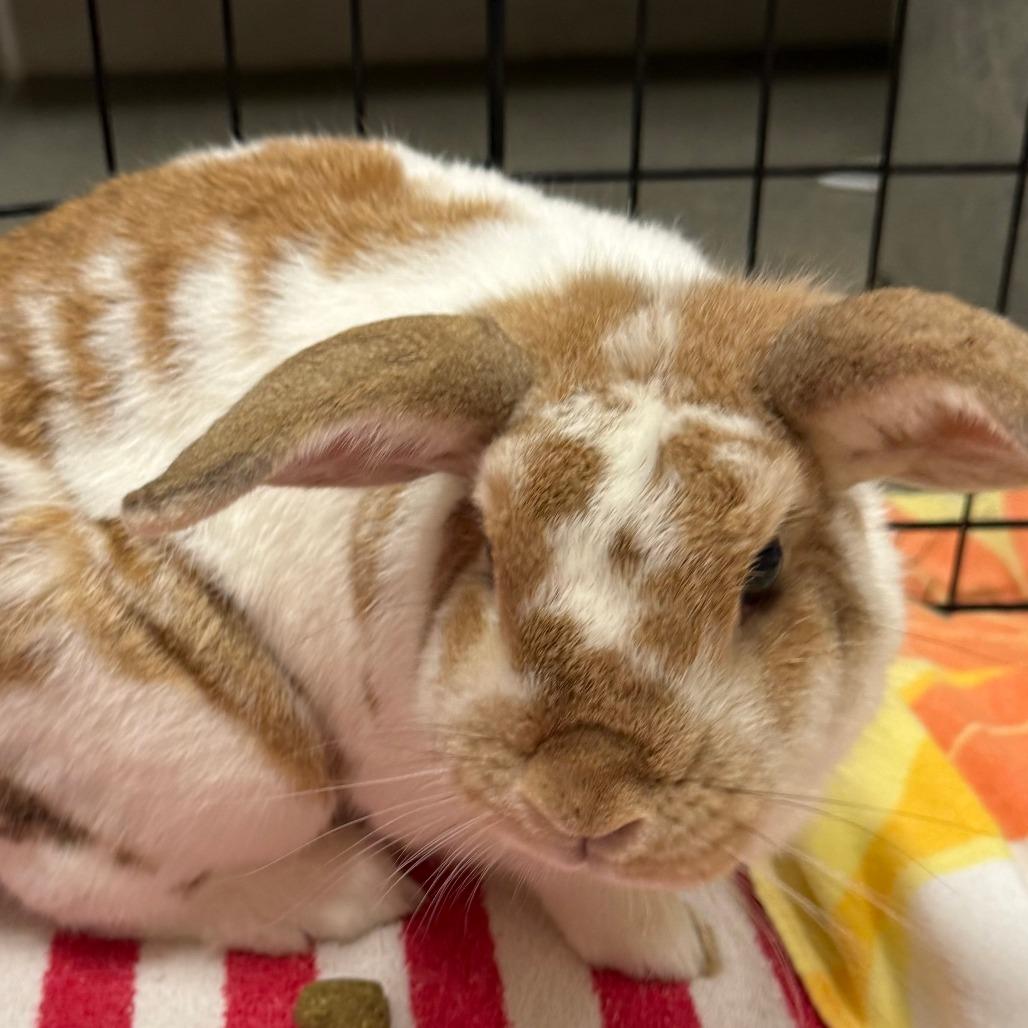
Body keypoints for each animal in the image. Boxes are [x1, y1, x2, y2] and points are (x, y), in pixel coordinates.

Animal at [2, 135, 1028, 978]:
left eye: (765, 566)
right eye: (490, 548)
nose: (584, 802)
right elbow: (577, 887)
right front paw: (676, 953)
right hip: (221, 756)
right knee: (82, 878)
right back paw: (343, 896)